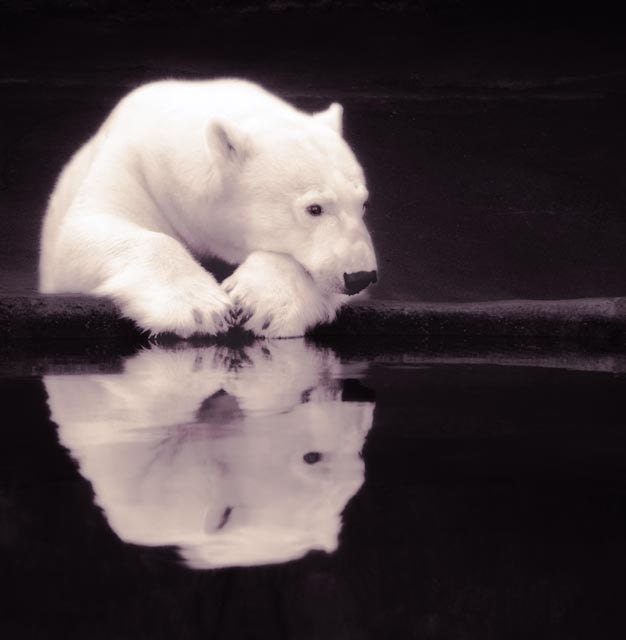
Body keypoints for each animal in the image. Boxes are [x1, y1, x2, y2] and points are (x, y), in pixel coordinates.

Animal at [39, 79, 377, 338]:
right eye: (314, 208)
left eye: (362, 203)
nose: (360, 276)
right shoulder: (133, 165)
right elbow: (83, 232)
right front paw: (200, 310)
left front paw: (262, 306)